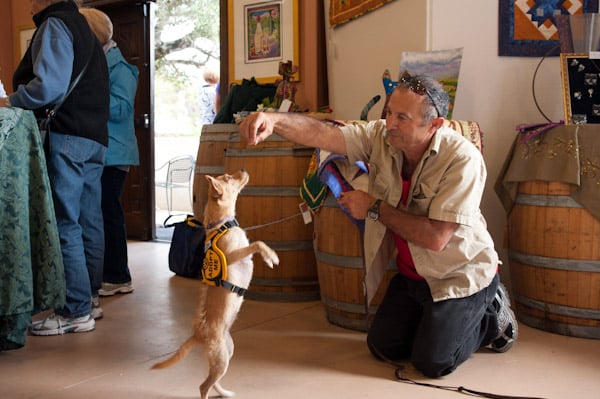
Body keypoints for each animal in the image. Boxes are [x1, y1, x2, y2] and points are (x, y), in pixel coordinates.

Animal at [152, 170, 278, 399]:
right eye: (228, 177)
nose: (244, 170)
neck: (221, 225)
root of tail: (198, 335)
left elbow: (256, 244)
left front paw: (269, 256)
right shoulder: (234, 256)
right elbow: (258, 244)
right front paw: (271, 256)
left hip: (227, 353)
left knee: (212, 381)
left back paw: (225, 392)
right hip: (221, 359)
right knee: (203, 386)